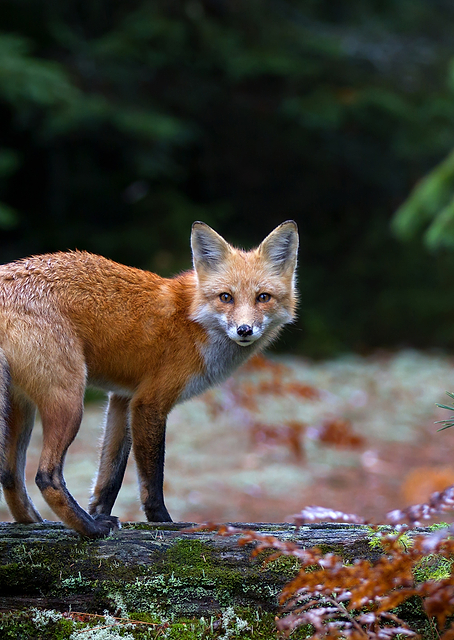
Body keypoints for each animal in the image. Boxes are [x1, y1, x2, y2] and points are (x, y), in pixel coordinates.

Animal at [0, 220, 298, 537]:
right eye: (225, 297)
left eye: (263, 297)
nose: (244, 330)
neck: (192, 319)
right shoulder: (149, 403)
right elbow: (152, 478)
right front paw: (163, 522)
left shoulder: (123, 399)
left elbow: (110, 477)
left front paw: (99, 511)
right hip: (69, 402)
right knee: (46, 475)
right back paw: (91, 529)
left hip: (23, 406)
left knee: (9, 475)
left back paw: (37, 522)